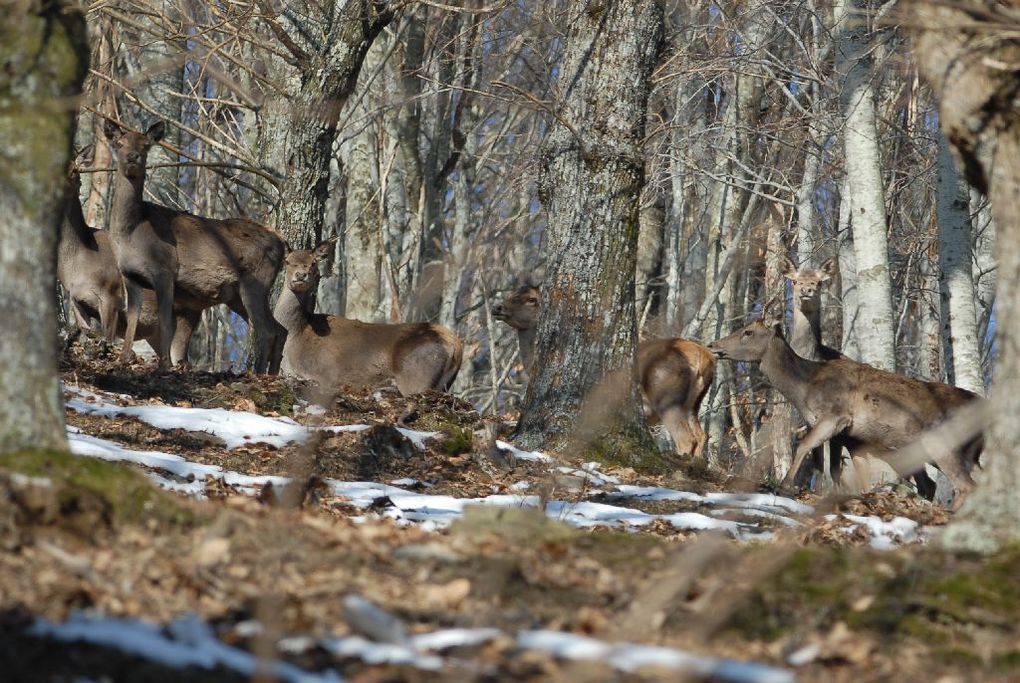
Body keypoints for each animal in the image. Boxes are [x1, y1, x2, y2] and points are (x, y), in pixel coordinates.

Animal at [103, 119, 285, 371]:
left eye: (146, 145)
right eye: (119, 143)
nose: (133, 157)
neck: (132, 233)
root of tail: (283, 246)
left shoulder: (164, 269)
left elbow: (165, 320)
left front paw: (164, 366)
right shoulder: (130, 274)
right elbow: (132, 317)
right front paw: (122, 359)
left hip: (256, 281)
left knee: (266, 331)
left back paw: (258, 374)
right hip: (236, 296)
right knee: (280, 329)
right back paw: (272, 374)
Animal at [271, 243, 463, 399]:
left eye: (313, 263)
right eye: (287, 261)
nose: (300, 275)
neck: (296, 331)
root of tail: (455, 345)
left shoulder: (322, 374)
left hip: (416, 375)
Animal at [489, 283, 714, 460]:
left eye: (531, 299)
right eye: (512, 292)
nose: (497, 307)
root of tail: (704, 359)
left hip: (666, 396)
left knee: (686, 439)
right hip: (693, 403)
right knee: (701, 436)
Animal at [709, 318, 979, 505]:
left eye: (748, 332)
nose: (713, 345)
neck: (804, 389)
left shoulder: (835, 416)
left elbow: (804, 446)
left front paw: (785, 485)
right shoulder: (843, 434)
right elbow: (831, 467)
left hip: (943, 444)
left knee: (965, 485)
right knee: (940, 484)